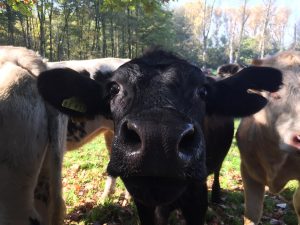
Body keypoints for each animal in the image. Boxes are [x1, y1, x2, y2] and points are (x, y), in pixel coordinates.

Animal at [37, 49, 282, 225]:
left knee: (217, 171)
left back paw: (217, 195)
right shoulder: (143, 203)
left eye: (203, 91)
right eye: (114, 89)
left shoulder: (197, 198)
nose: (159, 138)